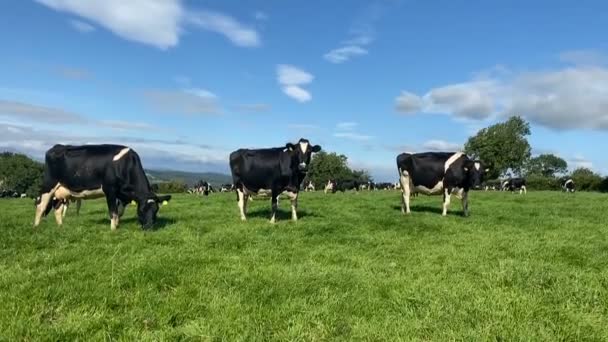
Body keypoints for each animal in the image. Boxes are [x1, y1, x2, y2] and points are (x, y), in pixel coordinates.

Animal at [34, 144, 171, 230]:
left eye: (156, 210)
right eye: (141, 210)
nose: (149, 227)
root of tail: (57, 147)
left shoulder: (122, 195)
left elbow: (119, 212)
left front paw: (117, 225)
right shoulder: (110, 190)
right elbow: (113, 211)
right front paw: (113, 229)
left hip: (61, 191)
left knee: (57, 209)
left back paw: (61, 227)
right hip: (49, 184)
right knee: (41, 206)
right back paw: (36, 227)